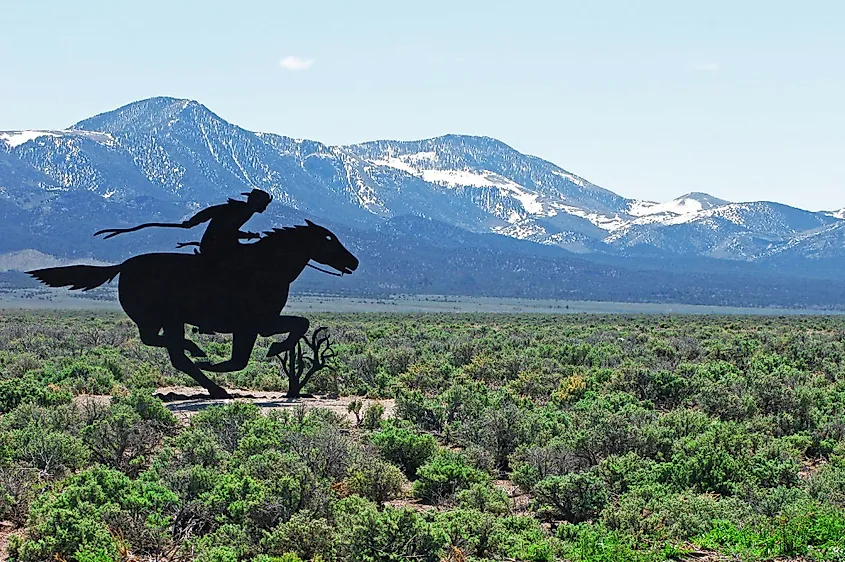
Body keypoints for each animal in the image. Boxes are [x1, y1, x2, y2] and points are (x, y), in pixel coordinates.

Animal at [26, 219, 356, 398]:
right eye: (329, 239)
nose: (353, 262)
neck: (266, 267)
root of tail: (122, 267)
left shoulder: (255, 325)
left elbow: (293, 327)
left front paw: (274, 350)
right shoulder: (255, 324)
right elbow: (247, 356)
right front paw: (274, 349)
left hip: (167, 320)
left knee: (167, 349)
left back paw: (206, 372)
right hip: (166, 318)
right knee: (167, 347)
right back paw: (203, 364)